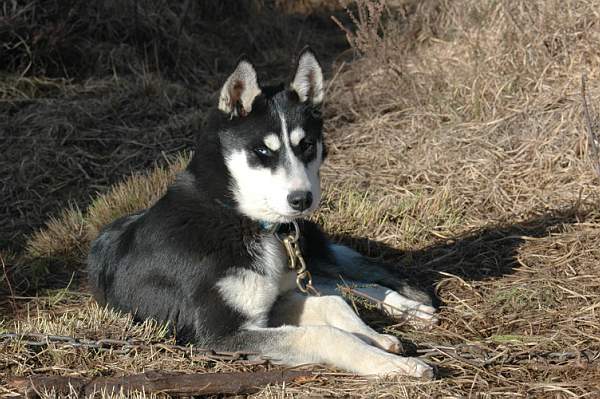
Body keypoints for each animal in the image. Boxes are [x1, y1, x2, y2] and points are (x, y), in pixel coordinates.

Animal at [88, 49, 436, 378]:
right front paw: (390, 362)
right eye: (263, 151)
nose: (302, 200)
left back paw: (406, 306)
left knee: (344, 283)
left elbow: (333, 305)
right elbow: (323, 333)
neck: (236, 216)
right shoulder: (223, 333)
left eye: (307, 145)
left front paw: (377, 338)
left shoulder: (273, 301)